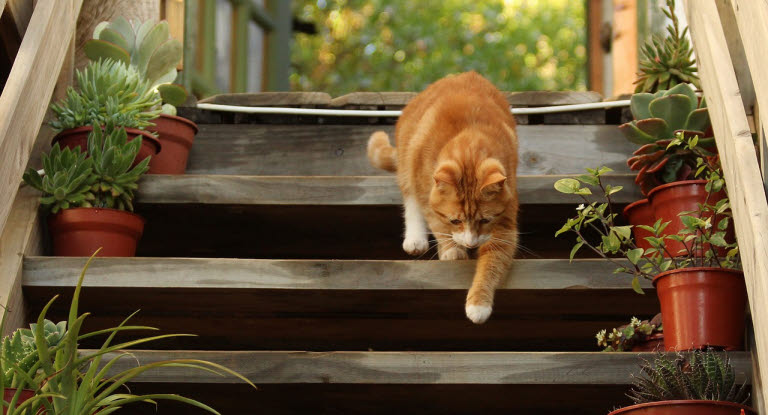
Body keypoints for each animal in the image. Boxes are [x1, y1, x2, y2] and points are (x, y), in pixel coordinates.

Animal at [368, 72, 520, 324]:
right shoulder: (425, 190)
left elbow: (492, 263)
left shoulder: (504, 225)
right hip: (408, 164)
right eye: (455, 220)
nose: (470, 243)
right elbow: (436, 222)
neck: (469, 142)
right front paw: (451, 249)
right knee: (410, 201)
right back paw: (416, 240)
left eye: (485, 221)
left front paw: (479, 304)